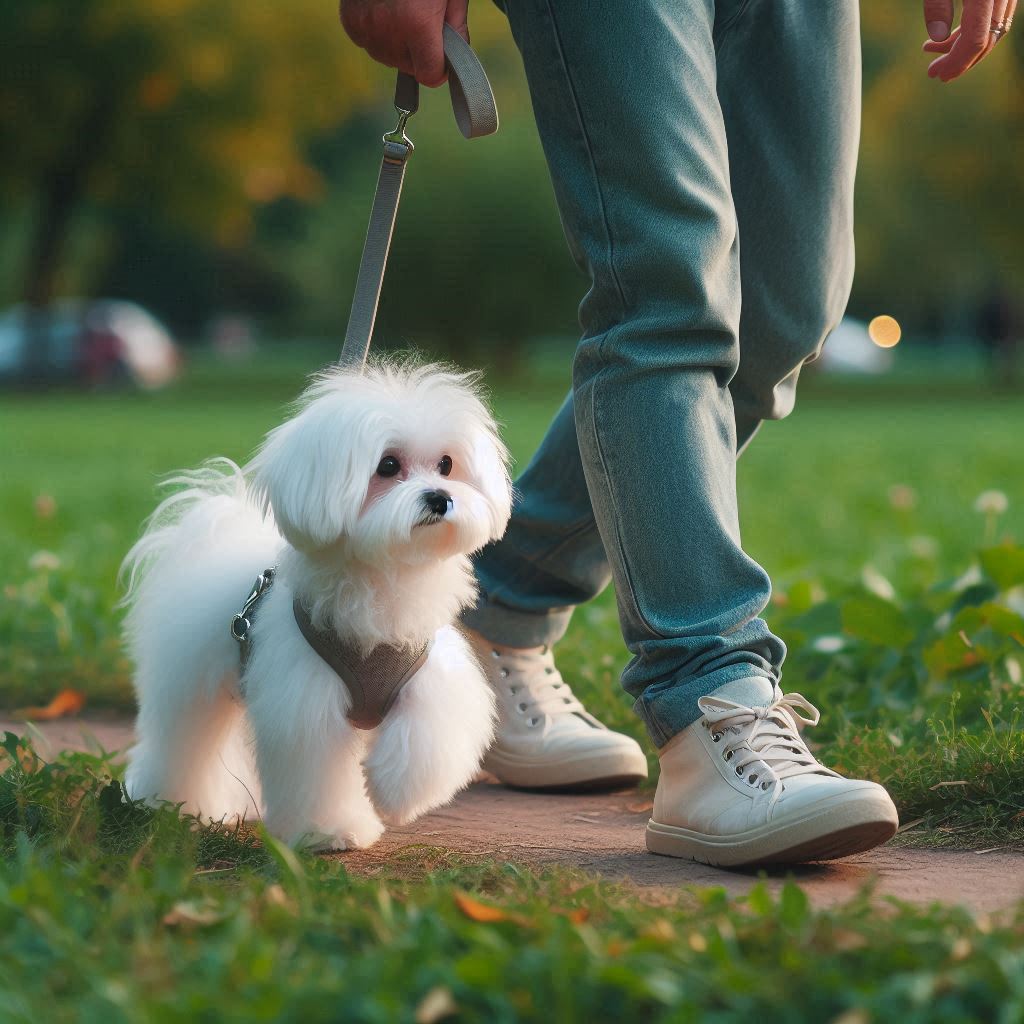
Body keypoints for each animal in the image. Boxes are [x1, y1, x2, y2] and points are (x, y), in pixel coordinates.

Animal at [121, 360, 512, 847]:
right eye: (388, 465)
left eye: (446, 464)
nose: (441, 498)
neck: (384, 578)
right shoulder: (307, 706)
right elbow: (318, 769)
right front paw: (329, 832)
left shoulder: (431, 676)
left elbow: (429, 735)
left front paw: (394, 794)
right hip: (186, 686)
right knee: (181, 744)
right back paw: (165, 803)